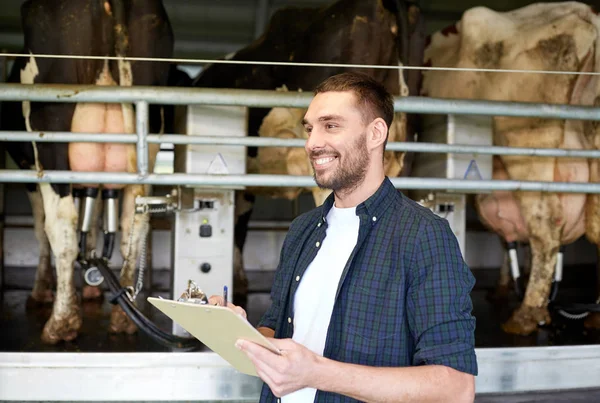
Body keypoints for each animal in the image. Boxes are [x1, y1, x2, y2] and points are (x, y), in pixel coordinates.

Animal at [0, 0, 176, 346]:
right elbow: (93, 221)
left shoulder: (29, 171)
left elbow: (42, 229)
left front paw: (41, 291)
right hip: (147, 137)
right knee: (133, 223)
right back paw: (123, 318)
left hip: (50, 134)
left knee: (61, 225)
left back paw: (61, 322)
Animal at [422, 1, 600, 336]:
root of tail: (583, 13)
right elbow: (508, 236)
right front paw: (503, 286)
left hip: (527, 148)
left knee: (545, 227)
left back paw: (526, 314)